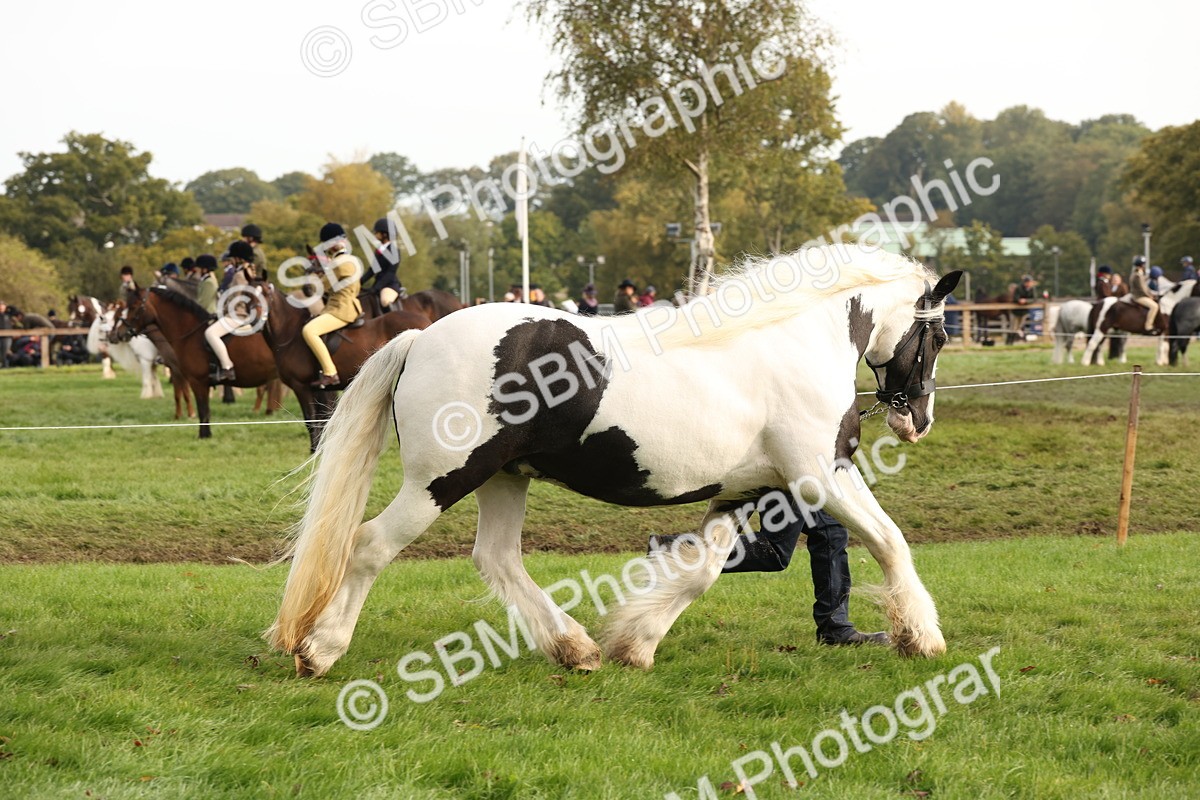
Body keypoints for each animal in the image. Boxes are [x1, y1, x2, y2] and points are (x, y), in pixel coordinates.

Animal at [120, 286, 279, 439]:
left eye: (133, 306)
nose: (122, 333)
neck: (190, 333)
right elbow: (205, 409)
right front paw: (206, 434)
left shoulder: (198, 382)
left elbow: (203, 410)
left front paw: (203, 435)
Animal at [259, 283, 431, 451]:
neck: (290, 333)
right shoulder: (316, 389)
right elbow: (321, 417)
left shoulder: (301, 386)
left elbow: (311, 419)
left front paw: (314, 449)